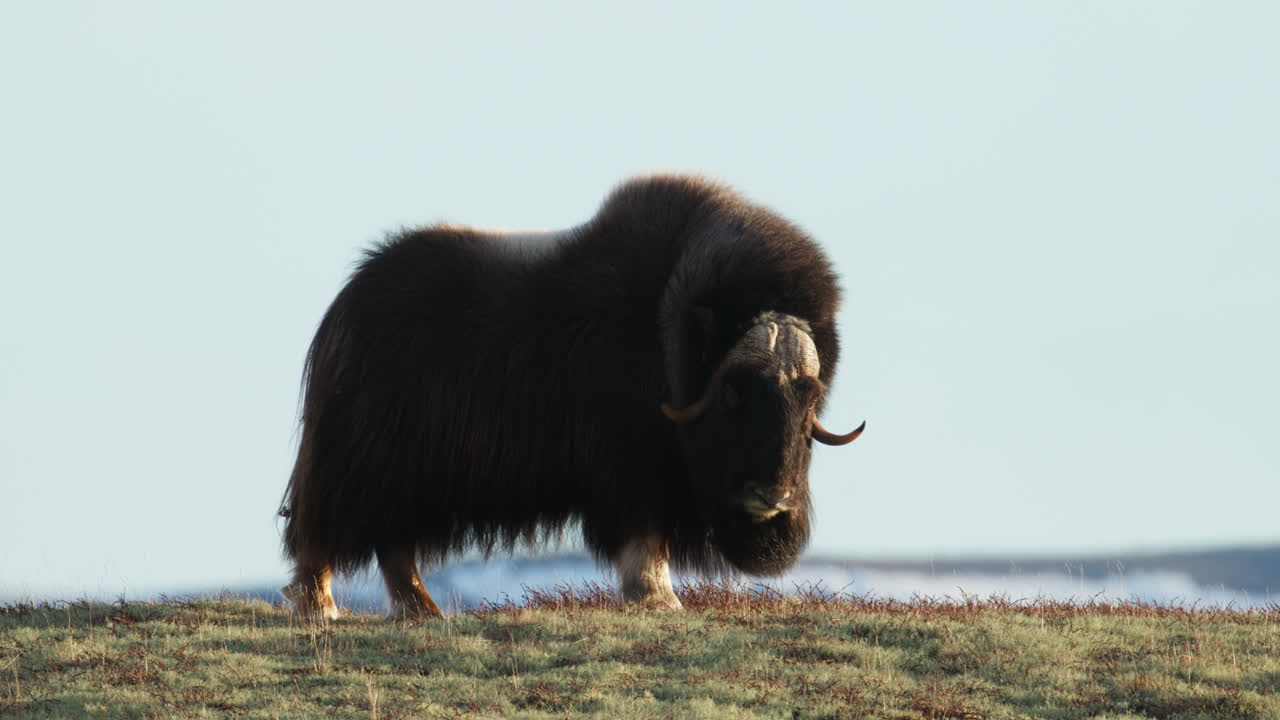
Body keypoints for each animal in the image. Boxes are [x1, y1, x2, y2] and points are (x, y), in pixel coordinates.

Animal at [279, 175, 864, 619]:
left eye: (807, 394)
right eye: (733, 392)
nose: (774, 495)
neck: (668, 343)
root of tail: (348, 302)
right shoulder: (632, 467)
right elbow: (645, 533)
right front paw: (658, 599)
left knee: (392, 541)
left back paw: (422, 611)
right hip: (365, 460)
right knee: (329, 527)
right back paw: (322, 606)